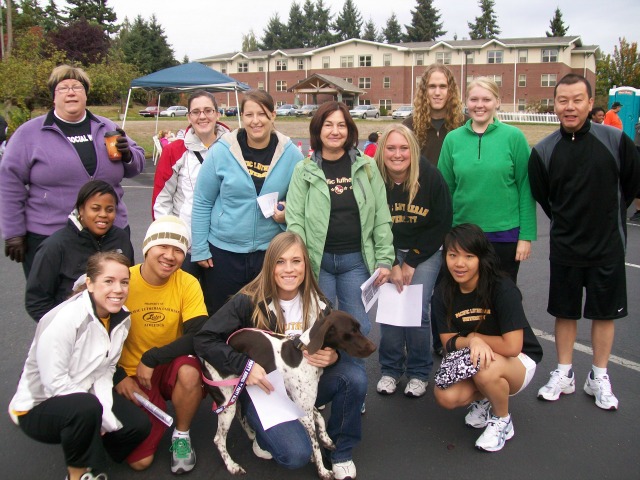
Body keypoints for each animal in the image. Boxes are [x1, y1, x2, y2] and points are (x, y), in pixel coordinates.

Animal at [202, 310, 378, 478]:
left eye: (358, 328)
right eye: (352, 331)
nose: (374, 347)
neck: (305, 353)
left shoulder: (303, 405)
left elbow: (320, 419)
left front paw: (326, 439)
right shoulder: (305, 411)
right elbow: (315, 445)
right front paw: (322, 470)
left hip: (237, 393)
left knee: (240, 412)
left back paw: (251, 433)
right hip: (226, 403)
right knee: (219, 439)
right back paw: (232, 466)